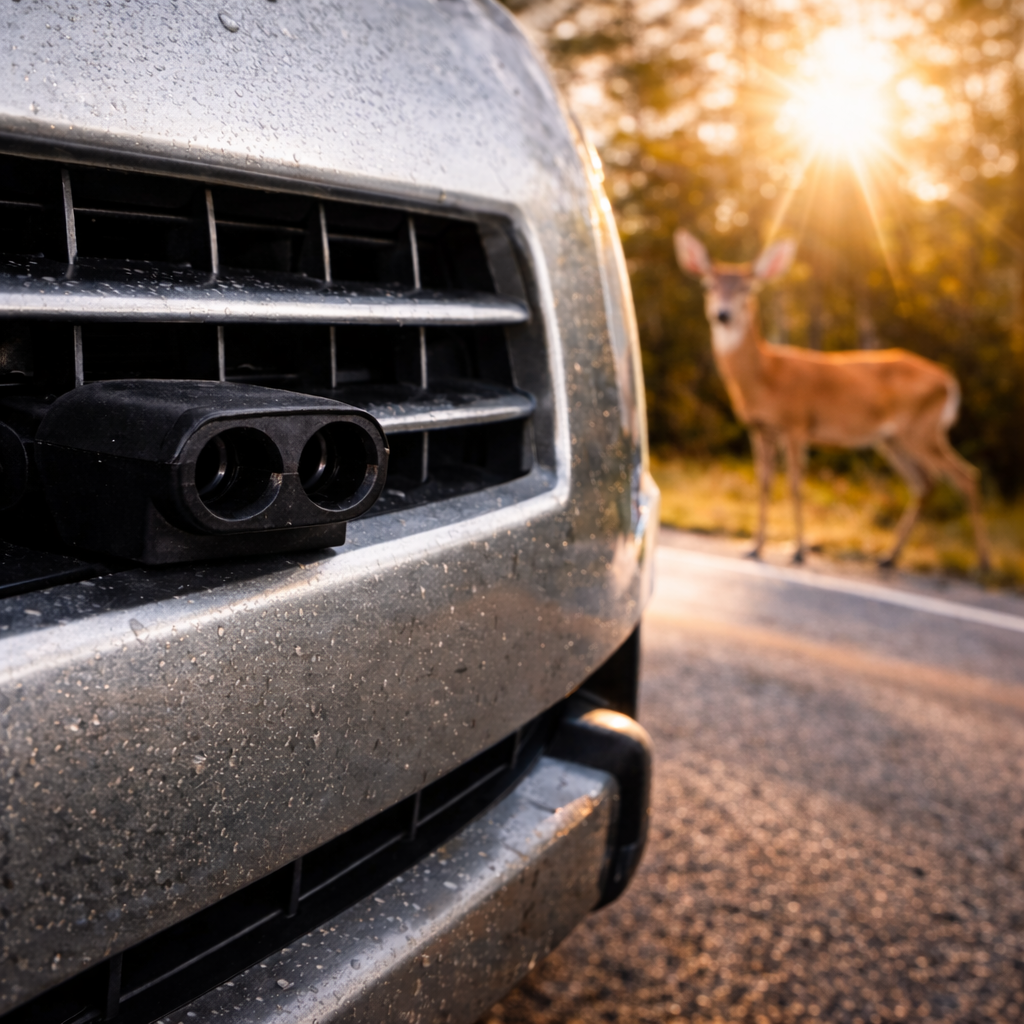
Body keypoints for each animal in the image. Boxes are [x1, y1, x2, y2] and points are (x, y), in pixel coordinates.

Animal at [674, 230, 990, 571]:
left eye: (749, 288)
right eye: (708, 285)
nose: (722, 315)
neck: (765, 376)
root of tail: (949, 380)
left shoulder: (797, 423)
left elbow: (795, 484)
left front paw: (799, 551)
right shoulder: (759, 428)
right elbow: (764, 483)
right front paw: (754, 546)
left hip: (922, 430)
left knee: (966, 476)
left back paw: (983, 563)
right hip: (893, 440)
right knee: (926, 483)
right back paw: (888, 557)